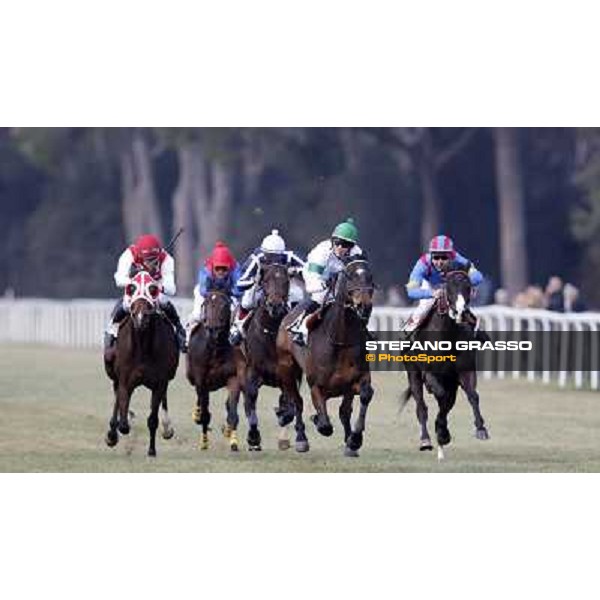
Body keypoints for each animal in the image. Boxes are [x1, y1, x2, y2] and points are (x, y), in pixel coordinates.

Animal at [103, 274, 178, 460]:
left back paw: (167, 428)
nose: (140, 318)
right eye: (131, 288)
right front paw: (122, 424)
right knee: (117, 399)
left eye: (153, 289)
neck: (143, 347)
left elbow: (152, 419)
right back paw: (113, 433)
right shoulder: (125, 381)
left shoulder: (159, 382)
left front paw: (152, 450)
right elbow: (123, 422)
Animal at [185, 290, 246, 450]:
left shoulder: (234, 378)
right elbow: (205, 412)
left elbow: (233, 412)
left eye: (224, 305)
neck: (215, 349)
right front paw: (204, 441)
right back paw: (197, 414)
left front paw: (233, 441)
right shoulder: (202, 380)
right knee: (200, 400)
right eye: (206, 304)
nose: (213, 329)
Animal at [241, 262, 292, 450]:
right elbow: (251, 400)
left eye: (286, 281)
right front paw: (253, 438)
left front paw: (282, 415)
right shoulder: (253, 371)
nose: (275, 305)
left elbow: (288, 405)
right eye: (265, 280)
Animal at [278, 256, 376, 454]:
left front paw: (354, 440)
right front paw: (316, 420)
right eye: (350, 276)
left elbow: (362, 397)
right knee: (297, 402)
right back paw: (301, 438)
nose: (365, 306)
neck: (339, 340)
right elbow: (324, 425)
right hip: (287, 369)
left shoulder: (357, 380)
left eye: (370, 276)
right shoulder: (316, 386)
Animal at [398, 268, 488, 460]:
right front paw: (440, 432)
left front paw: (480, 429)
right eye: (449, 288)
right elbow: (439, 395)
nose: (461, 312)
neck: (448, 336)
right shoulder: (429, 373)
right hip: (412, 372)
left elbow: (472, 395)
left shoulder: (464, 372)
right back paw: (426, 440)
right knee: (421, 406)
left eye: (468, 287)